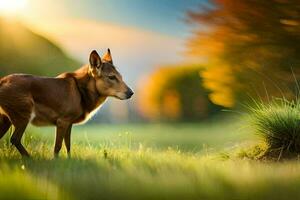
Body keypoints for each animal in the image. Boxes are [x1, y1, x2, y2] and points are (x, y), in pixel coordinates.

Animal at [0, 49, 132, 158]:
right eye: (111, 77)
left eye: (121, 76)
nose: (131, 93)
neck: (82, 92)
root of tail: (2, 81)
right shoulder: (62, 122)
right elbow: (57, 147)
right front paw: (55, 161)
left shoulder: (69, 124)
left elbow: (68, 146)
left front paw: (69, 160)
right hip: (23, 116)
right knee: (15, 139)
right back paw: (29, 158)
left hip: (6, 120)